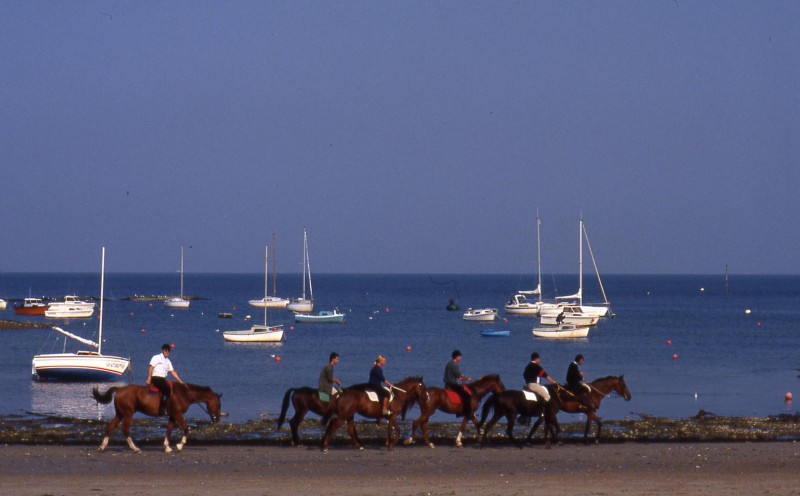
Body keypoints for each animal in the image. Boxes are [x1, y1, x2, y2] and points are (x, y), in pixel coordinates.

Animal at [93, 384, 222, 454]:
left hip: (120, 414)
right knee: (125, 429)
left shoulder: (172, 415)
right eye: (218, 404)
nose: (217, 420)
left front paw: (167, 447)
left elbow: (169, 429)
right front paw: (180, 445)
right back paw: (135, 448)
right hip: (128, 413)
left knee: (110, 427)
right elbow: (186, 428)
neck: (184, 393)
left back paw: (102, 447)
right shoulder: (178, 414)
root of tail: (119, 389)